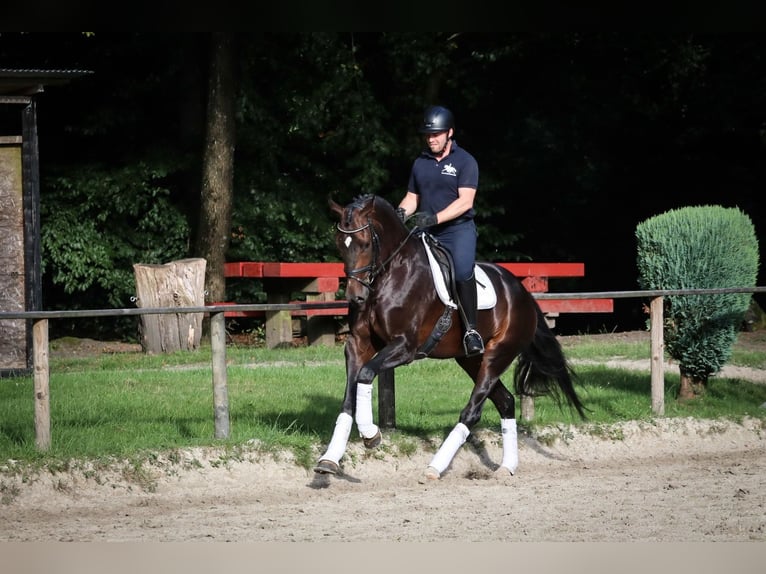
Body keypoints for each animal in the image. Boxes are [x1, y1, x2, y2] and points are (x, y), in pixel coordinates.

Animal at [316, 194, 584, 482]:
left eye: (365, 243)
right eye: (340, 245)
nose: (355, 296)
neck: (389, 276)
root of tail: (522, 292)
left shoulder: (404, 347)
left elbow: (366, 375)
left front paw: (370, 434)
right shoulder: (358, 345)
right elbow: (348, 400)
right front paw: (329, 459)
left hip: (498, 354)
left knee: (473, 411)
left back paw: (435, 467)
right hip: (470, 360)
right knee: (506, 401)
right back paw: (507, 466)